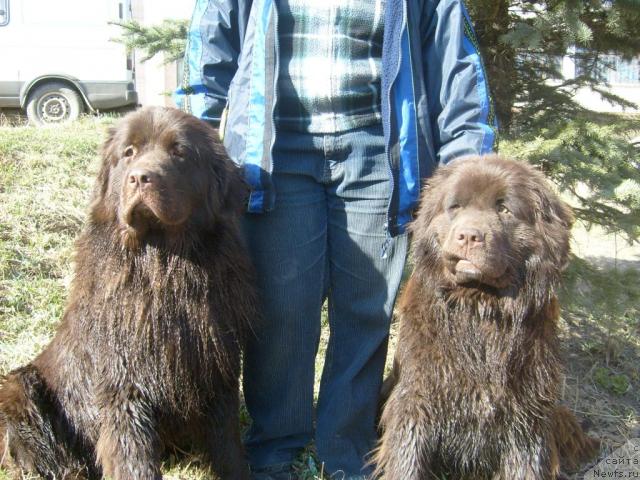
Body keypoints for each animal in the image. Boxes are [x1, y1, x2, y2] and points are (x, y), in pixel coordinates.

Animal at [0, 107, 255, 478]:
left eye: (179, 152)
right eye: (129, 152)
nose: (139, 178)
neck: (162, 267)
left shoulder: (216, 367)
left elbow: (227, 444)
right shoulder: (124, 383)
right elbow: (132, 456)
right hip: (19, 388)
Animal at [376, 156, 600, 478]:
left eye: (504, 209)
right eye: (455, 206)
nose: (469, 235)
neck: (479, 310)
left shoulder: (527, 413)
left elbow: (526, 464)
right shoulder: (416, 396)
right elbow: (407, 457)